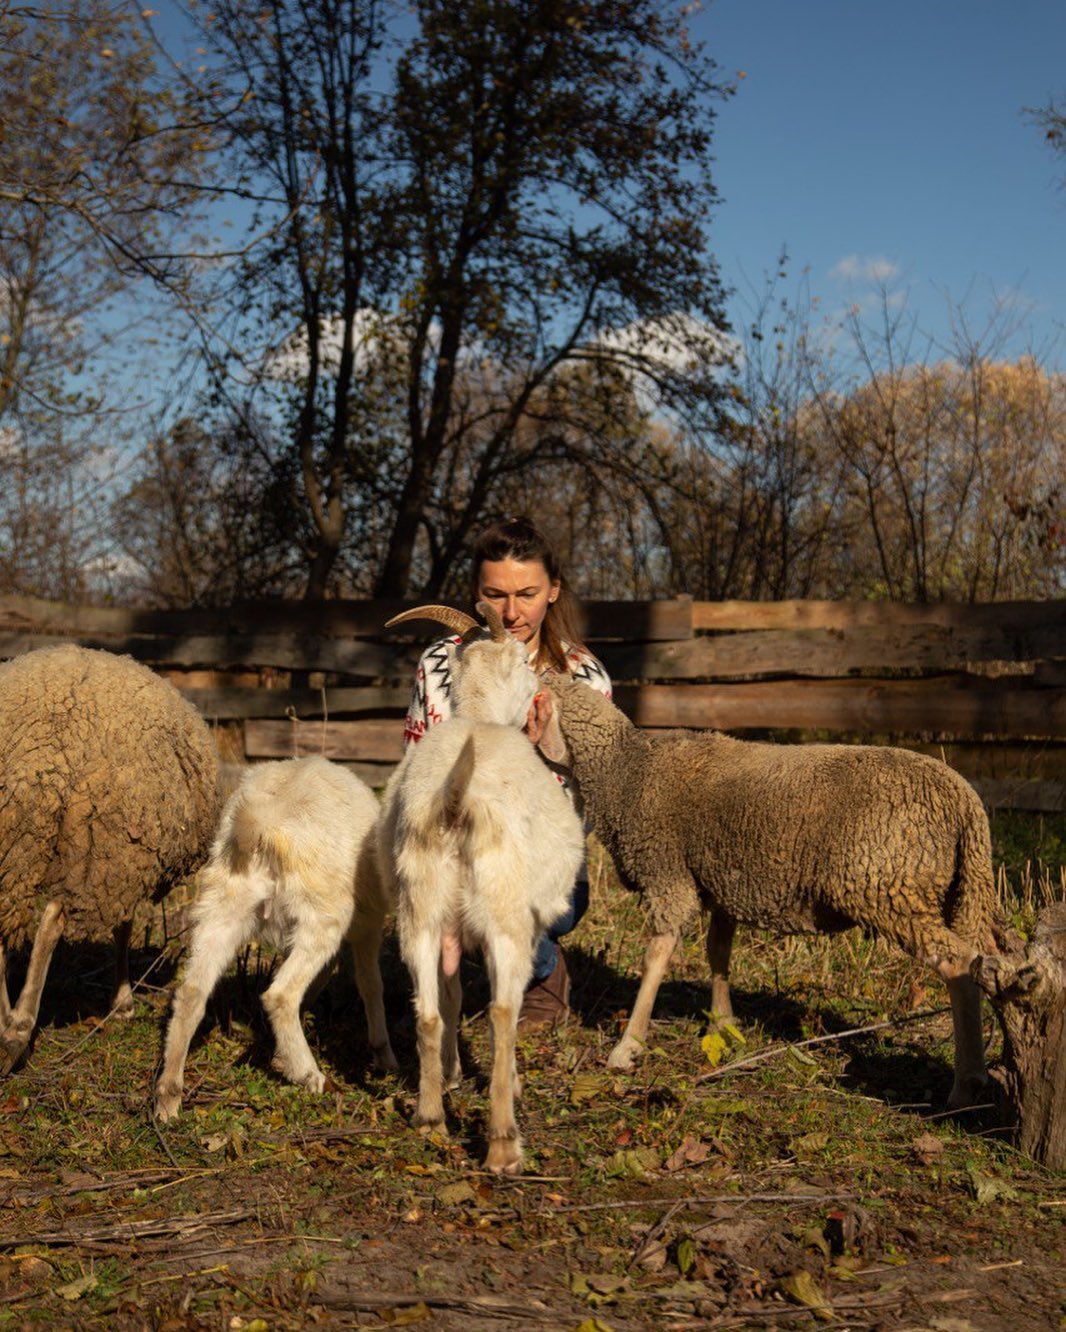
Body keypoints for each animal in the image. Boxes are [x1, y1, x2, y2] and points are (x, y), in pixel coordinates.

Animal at [0, 642, 219, 1070]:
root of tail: (48, 753)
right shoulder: (126, 859)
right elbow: (124, 925)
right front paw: (123, 1004)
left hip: (16, 840)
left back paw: (5, 1025)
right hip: (102, 838)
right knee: (53, 919)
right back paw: (18, 1027)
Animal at [151, 756, 394, 1118]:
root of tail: (262, 822)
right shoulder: (369, 922)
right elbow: (371, 985)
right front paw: (384, 1055)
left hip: (222, 905)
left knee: (192, 992)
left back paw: (168, 1096)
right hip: (321, 914)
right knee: (280, 995)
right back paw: (309, 1074)